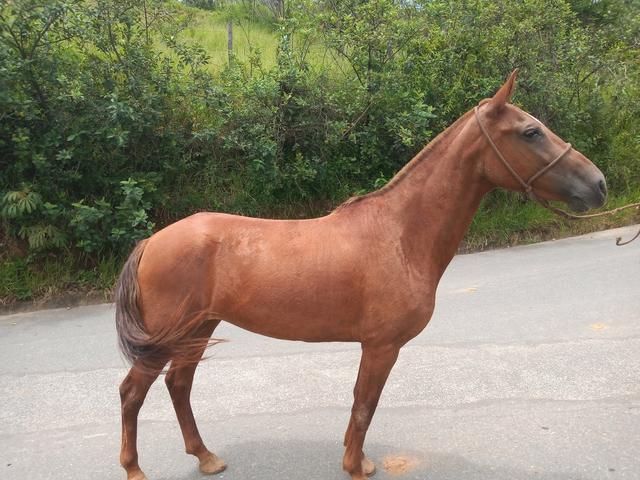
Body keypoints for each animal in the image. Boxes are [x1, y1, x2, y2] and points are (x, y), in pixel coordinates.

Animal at [115, 70, 604, 480]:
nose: (598, 184)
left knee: (179, 385)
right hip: (169, 336)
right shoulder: (381, 346)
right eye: (531, 132)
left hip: (199, 328)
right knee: (132, 393)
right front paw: (356, 466)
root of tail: (151, 242)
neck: (401, 234)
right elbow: (365, 404)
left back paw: (206, 457)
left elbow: (362, 406)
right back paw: (136, 469)